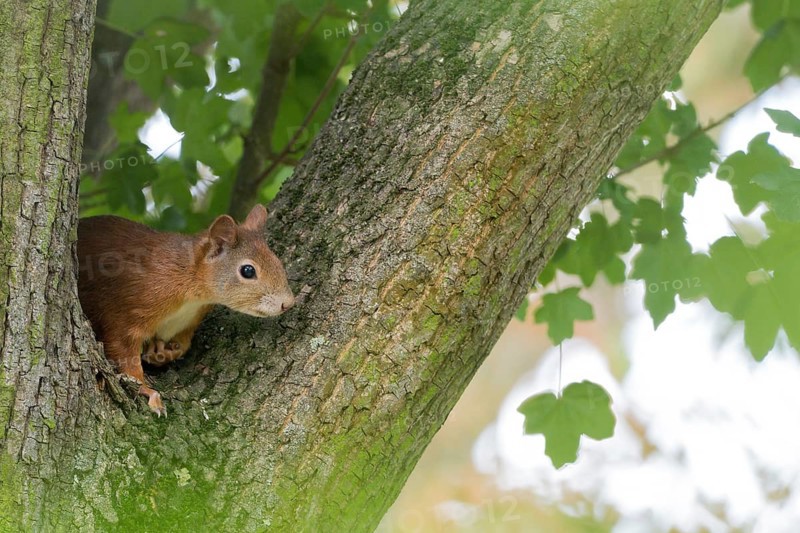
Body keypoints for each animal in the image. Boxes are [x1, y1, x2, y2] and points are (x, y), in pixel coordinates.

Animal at [77, 204, 295, 416]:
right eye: (248, 271)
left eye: (277, 261)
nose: (288, 303)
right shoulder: (126, 312)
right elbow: (124, 355)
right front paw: (148, 391)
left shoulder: (187, 322)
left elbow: (183, 345)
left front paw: (161, 353)